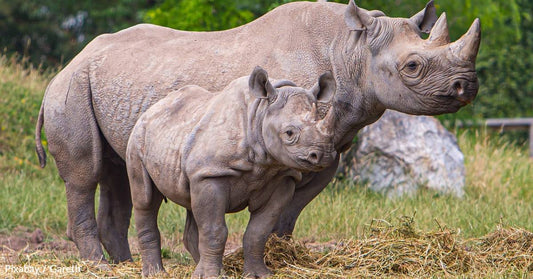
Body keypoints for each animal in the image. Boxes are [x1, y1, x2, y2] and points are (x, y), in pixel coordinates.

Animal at [125, 67, 336, 278]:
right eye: (289, 133)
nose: (323, 154)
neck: (260, 113)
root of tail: (152, 109)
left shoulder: (282, 177)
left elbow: (258, 232)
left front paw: (258, 274)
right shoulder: (212, 174)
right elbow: (215, 230)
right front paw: (212, 276)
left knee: (191, 203)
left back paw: (200, 268)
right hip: (137, 138)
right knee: (145, 200)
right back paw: (155, 273)